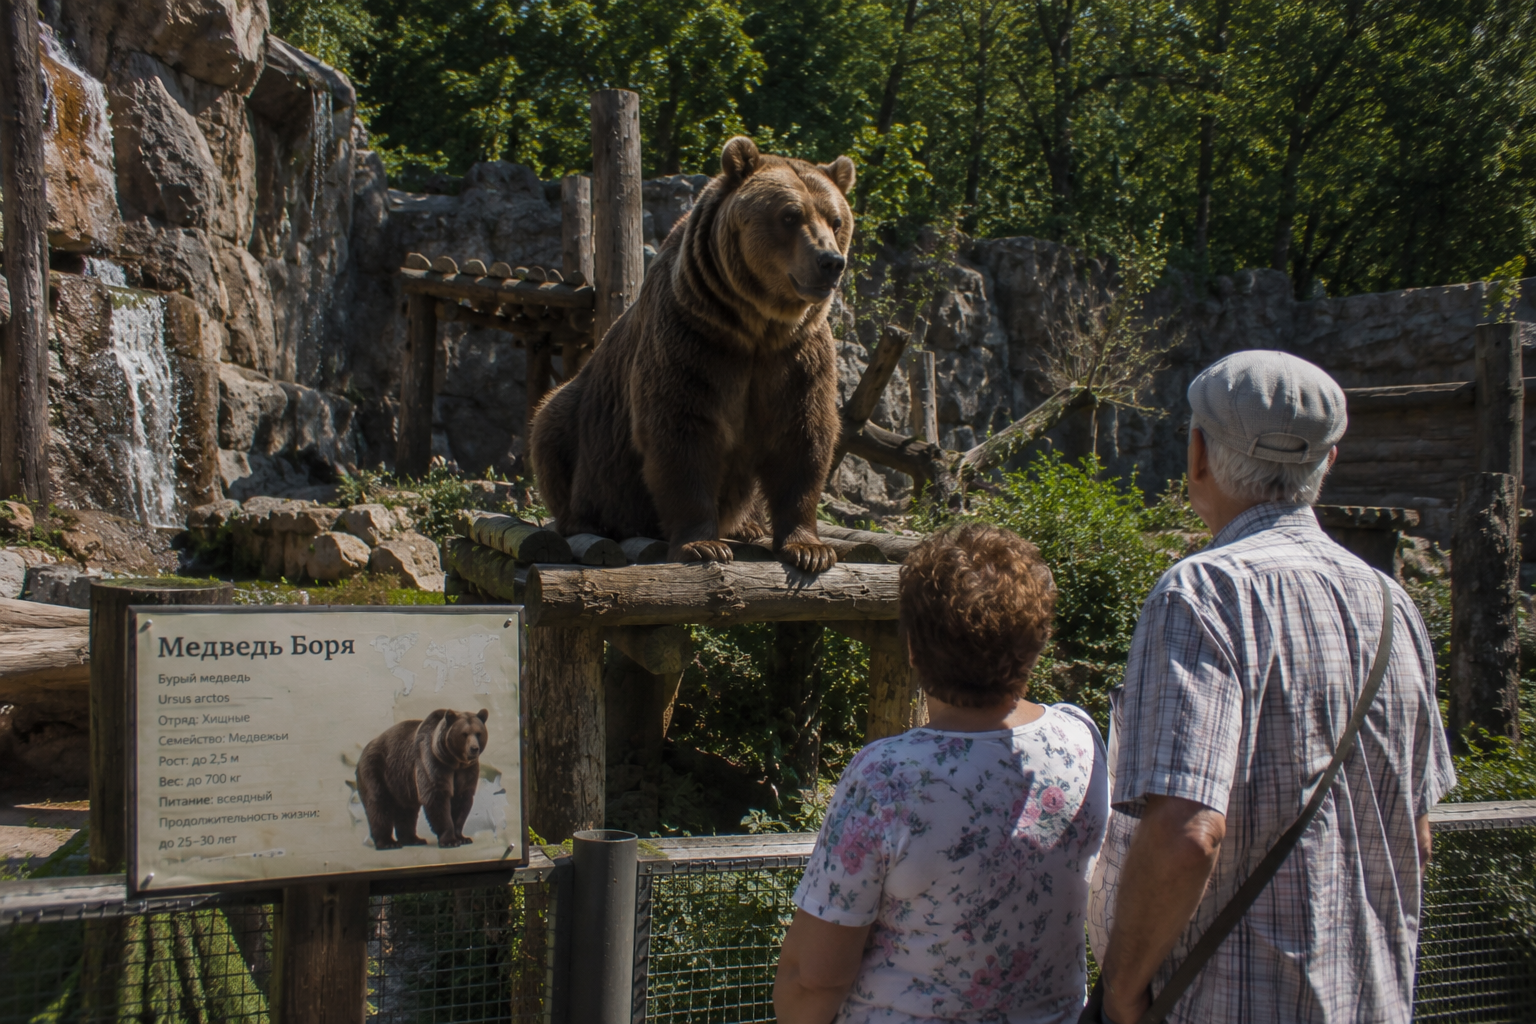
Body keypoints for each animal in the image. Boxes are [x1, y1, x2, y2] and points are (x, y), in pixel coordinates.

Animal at [356, 708, 489, 850]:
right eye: (464, 734)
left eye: (478, 733)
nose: (474, 749)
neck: (454, 761)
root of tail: (363, 753)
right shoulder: (432, 762)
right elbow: (437, 797)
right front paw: (450, 840)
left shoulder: (467, 770)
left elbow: (462, 798)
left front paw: (462, 838)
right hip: (376, 770)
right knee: (380, 804)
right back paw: (388, 842)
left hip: (401, 781)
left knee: (407, 810)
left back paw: (413, 839)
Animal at [529, 136, 855, 572]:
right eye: (790, 215)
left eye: (836, 220)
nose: (830, 261)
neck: (756, 326)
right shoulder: (694, 340)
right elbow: (682, 434)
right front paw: (702, 544)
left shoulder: (796, 357)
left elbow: (802, 436)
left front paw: (810, 549)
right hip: (579, 423)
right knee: (548, 426)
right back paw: (584, 519)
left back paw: (747, 526)